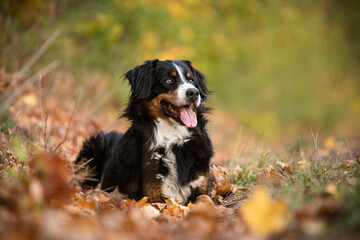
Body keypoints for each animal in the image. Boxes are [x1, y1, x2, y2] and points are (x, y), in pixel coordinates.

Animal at [74, 60, 212, 204]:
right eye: (168, 80)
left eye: (191, 80)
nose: (194, 92)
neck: (173, 138)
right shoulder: (150, 194)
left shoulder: (201, 185)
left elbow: (206, 200)